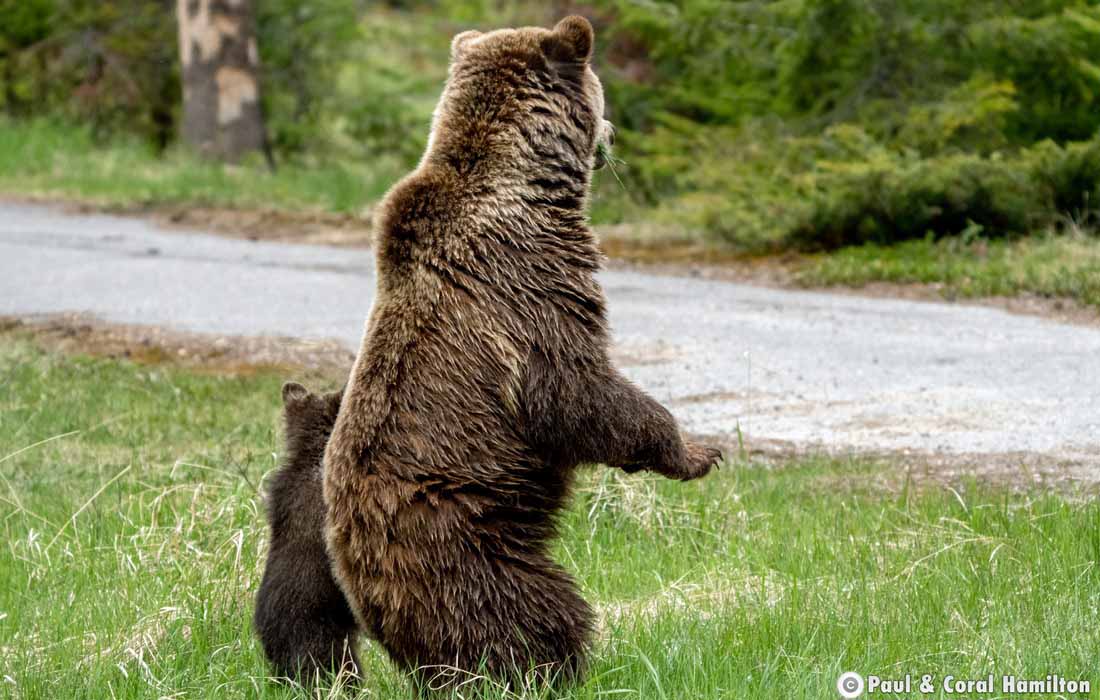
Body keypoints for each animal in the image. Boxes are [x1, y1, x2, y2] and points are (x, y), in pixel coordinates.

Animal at [323, 16, 721, 691]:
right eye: (601, 90)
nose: (614, 132)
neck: (528, 183)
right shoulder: (530, 292)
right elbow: (576, 390)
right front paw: (696, 452)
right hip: (468, 540)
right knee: (531, 612)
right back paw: (559, 668)